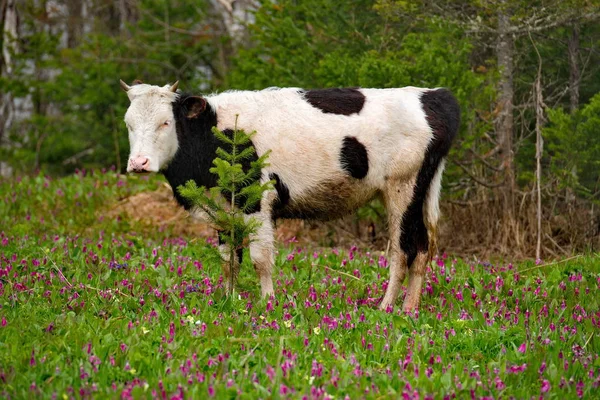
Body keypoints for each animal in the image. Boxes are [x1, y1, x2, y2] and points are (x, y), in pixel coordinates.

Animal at [120, 79, 460, 312]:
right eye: (129, 124)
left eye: (166, 122)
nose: (139, 163)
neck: (213, 133)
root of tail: (431, 94)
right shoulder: (223, 209)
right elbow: (229, 260)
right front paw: (230, 300)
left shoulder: (257, 202)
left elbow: (260, 259)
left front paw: (267, 303)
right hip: (423, 192)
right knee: (424, 247)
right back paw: (410, 309)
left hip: (402, 188)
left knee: (403, 250)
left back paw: (387, 307)